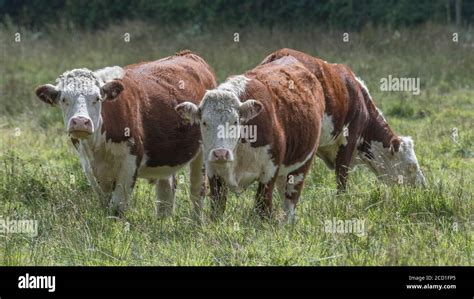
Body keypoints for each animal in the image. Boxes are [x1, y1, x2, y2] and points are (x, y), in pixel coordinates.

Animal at [34, 51, 217, 220]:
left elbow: (117, 207)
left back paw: (196, 222)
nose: (80, 121)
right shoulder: (89, 166)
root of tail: (187, 54)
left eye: (97, 98)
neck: (98, 147)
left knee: (197, 189)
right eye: (64, 99)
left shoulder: (130, 162)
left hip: (203, 152)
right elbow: (105, 204)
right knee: (167, 189)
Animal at [176, 55, 324, 223]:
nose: (220, 153)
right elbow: (217, 207)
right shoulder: (213, 170)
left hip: (301, 166)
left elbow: (263, 207)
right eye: (204, 122)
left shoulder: (270, 169)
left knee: (290, 201)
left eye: (235, 121)